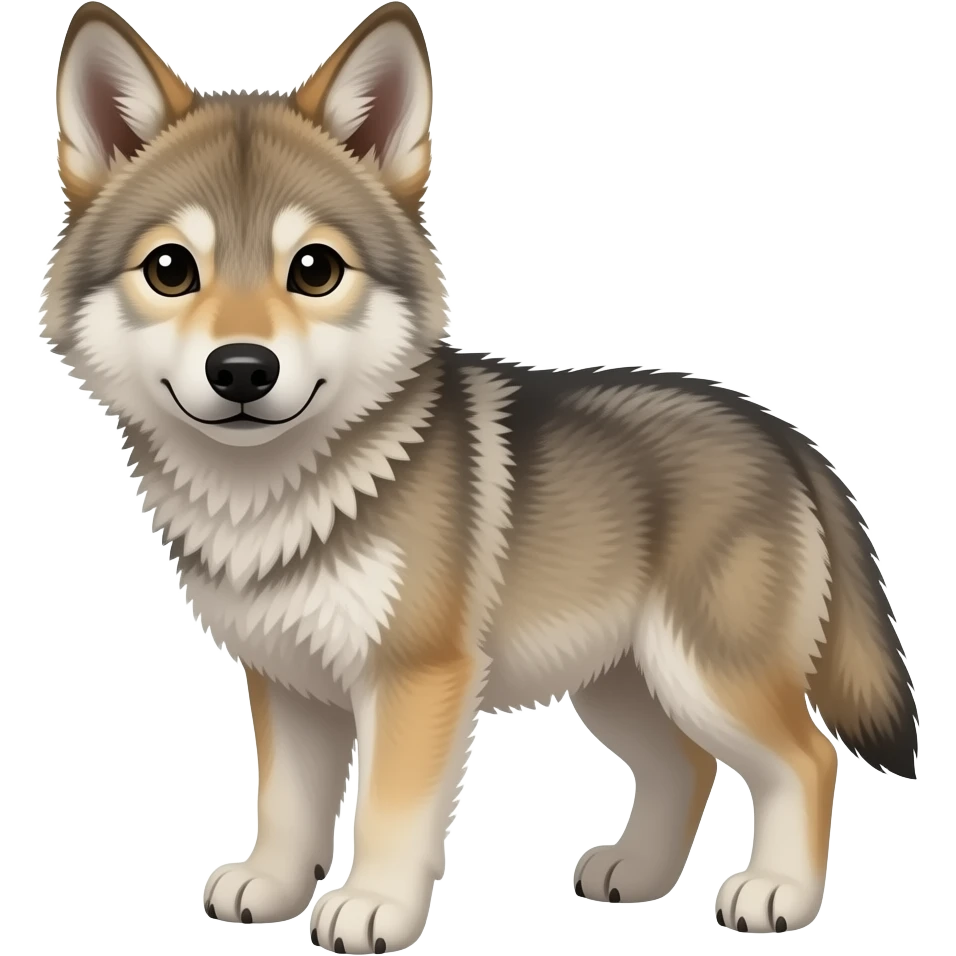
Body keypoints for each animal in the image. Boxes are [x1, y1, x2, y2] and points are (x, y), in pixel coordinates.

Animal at [42, 0, 919, 949]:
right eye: (171, 269)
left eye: (315, 269)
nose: (243, 370)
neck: (276, 494)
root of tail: (782, 432)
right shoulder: (289, 682)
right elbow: (287, 805)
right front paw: (272, 889)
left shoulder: (417, 679)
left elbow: (389, 812)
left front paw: (374, 907)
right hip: (622, 685)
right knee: (687, 767)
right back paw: (639, 875)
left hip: (707, 674)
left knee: (808, 758)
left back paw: (777, 893)